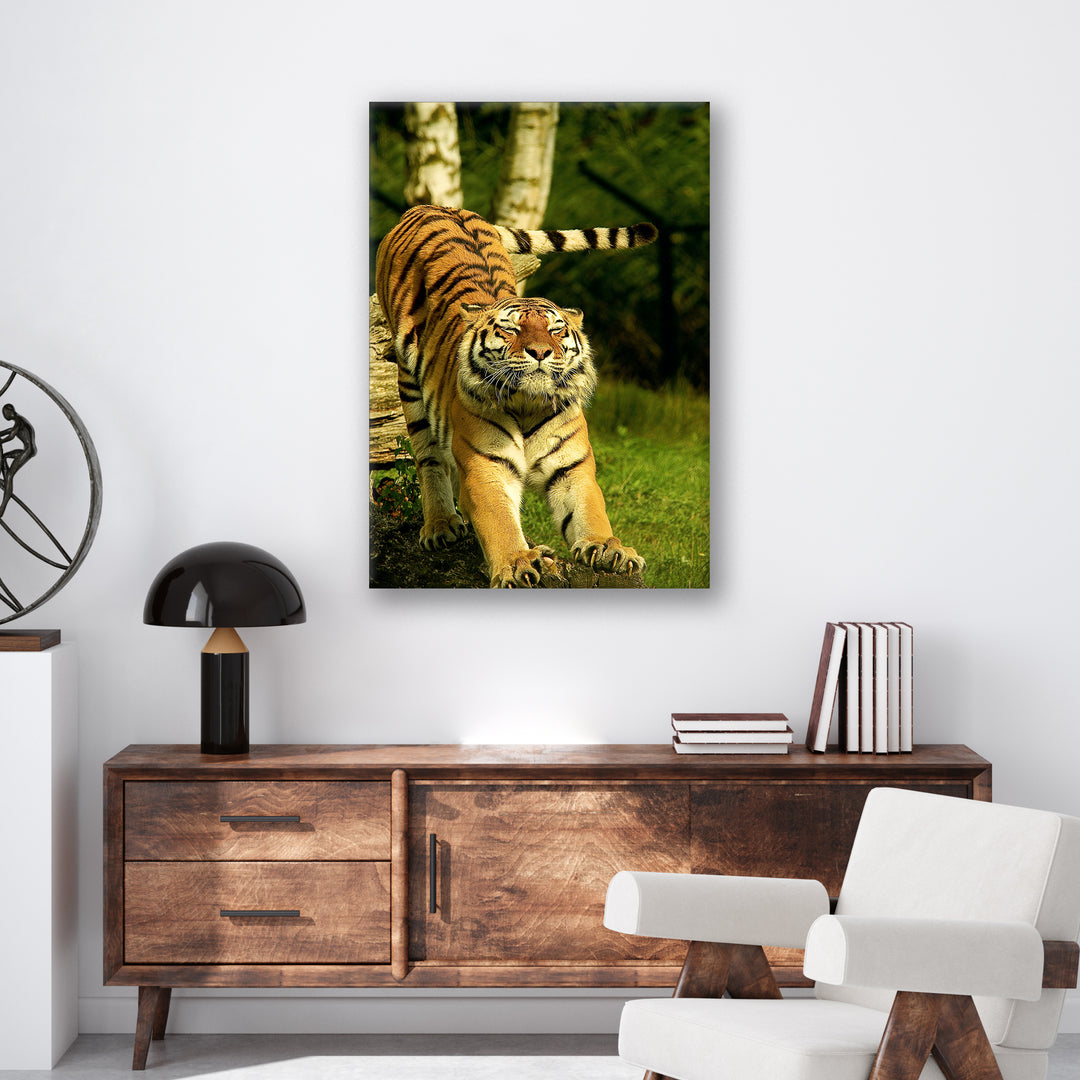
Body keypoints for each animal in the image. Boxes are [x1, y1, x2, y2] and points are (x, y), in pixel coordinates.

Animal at [375, 204, 657, 588]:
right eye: (511, 329)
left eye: (556, 330)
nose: (540, 351)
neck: (528, 404)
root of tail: (433, 206)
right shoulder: (486, 466)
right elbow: (499, 522)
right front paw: (517, 562)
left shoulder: (573, 468)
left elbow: (591, 512)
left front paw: (609, 548)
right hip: (408, 381)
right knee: (428, 457)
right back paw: (440, 526)